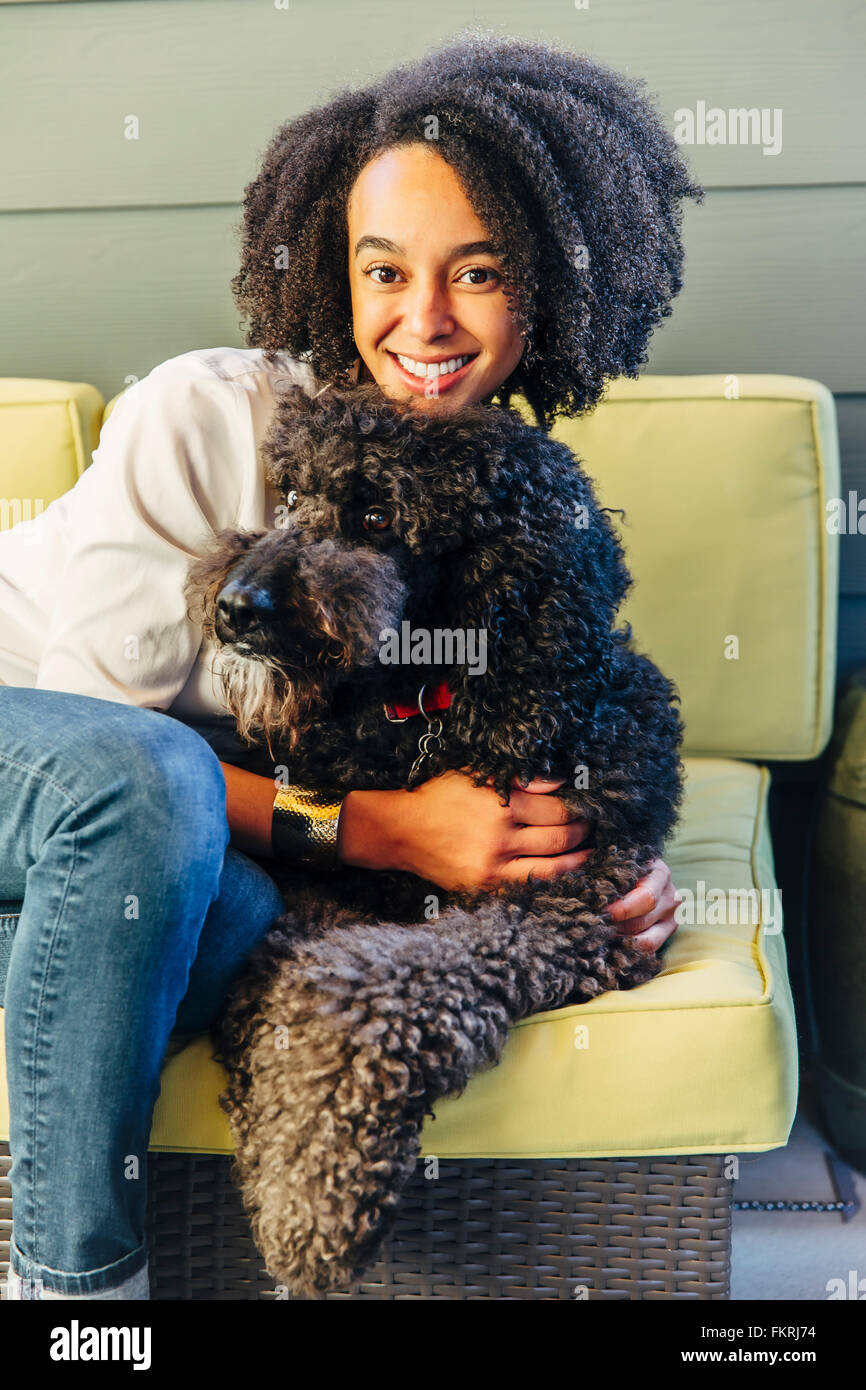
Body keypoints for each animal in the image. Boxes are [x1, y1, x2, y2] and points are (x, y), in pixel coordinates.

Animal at [186, 378, 686, 1289]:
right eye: (294, 495)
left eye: (379, 514)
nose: (235, 605)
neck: (426, 714)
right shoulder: (311, 893)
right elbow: (295, 971)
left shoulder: (568, 909)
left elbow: (366, 983)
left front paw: (313, 1195)